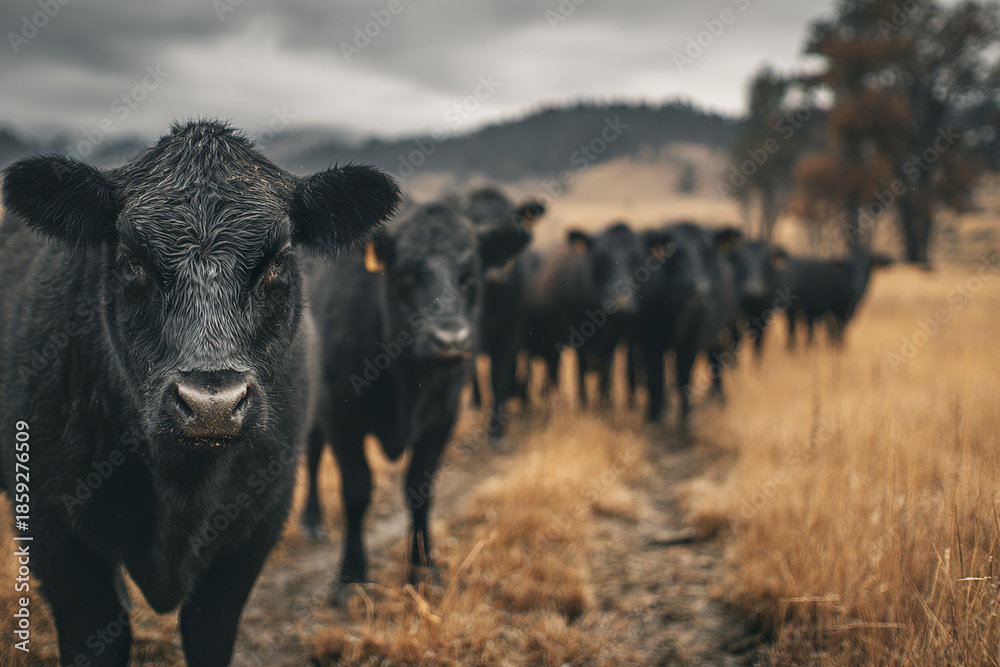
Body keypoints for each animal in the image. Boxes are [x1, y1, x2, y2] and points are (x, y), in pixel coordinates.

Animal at [0, 120, 400, 667]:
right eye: (132, 260)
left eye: (278, 261)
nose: (213, 406)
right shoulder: (51, 526)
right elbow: (97, 633)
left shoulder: (258, 523)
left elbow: (208, 631)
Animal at [301, 201, 531, 604]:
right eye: (407, 273)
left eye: (469, 275)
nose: (450, 339)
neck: (405, 378)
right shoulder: (339, 416)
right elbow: (357, 490)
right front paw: (351, 577)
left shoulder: (442, 419)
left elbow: (419, 490)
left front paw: (424, 569)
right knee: (312, 454)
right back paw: (312, 520)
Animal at [523, 222, 646, 407]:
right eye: (599, 258)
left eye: (637, 257)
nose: (621, 304)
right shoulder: (578, 336)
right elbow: (580, 368)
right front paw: (583, 401)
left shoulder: (614, 339)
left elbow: (606, 370)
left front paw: (605, 402)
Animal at [634, 223, 742, 425]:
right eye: (675, 254)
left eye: (707, 253)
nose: (698, 288)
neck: (672, 313)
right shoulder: (649, 342)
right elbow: (655, 379)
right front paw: (654, 417)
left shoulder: (691, 343)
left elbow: (684, 377)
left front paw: (686, 418)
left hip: (718, 331)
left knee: (715, 358)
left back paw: (717, 399)